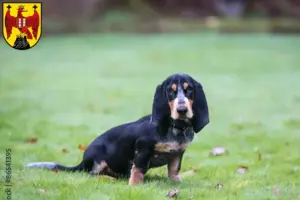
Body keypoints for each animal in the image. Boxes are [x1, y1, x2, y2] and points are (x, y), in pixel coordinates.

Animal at [26, 73, 209, 184]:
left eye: (189, 90)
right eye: (171, 92)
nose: (182, 110)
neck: (176, 127)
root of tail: (82, 162)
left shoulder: (178, 154)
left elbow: (174, 171)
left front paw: (177, 183)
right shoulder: (142, 149)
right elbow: (138, 170)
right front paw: (134, 186)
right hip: (98, 160)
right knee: (92, 174)